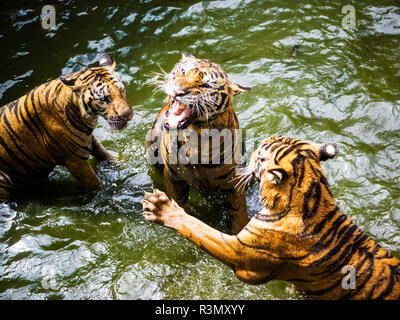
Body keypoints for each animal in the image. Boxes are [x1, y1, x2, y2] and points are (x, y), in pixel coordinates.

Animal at [0, 53, 134, 201]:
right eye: (103, 99)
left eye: (121, 90)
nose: (127, 115)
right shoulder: (74, 160)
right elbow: (95, 184)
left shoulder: (90, 141)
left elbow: (106, 155)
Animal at [144, 135, 400, 300]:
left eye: (260, 155)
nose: (246, 155)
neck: (312, 194)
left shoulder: (241, 256)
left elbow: (199, 229)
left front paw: (161, 208)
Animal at [147, 52, 252, 232]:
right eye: (182, 71)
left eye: (206, 85)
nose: (178, 91)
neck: (195, 134)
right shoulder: (174, 177)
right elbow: (179, 202)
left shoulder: (232, 181)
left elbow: (238, 212)